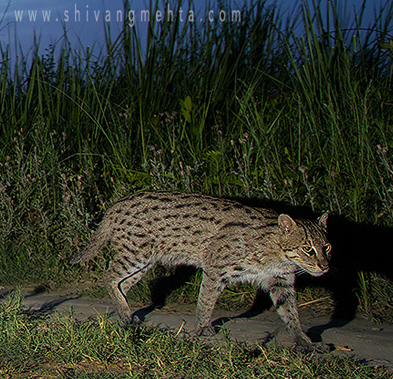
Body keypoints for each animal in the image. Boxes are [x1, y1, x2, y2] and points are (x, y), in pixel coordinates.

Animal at [71, 191, 330, 352]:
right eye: (308, 249)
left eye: (327, 247)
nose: (325, 266)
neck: (277, 254)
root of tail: (116, 204)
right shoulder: (215, 268)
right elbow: (205, 302)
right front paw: (201, 330)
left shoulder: (280, 282)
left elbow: (291, 315)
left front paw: (306, 342)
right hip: (135, 253)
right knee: (108, 275)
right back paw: (124, 313)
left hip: (144, 261)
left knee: (121, 283)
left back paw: (125, 312)